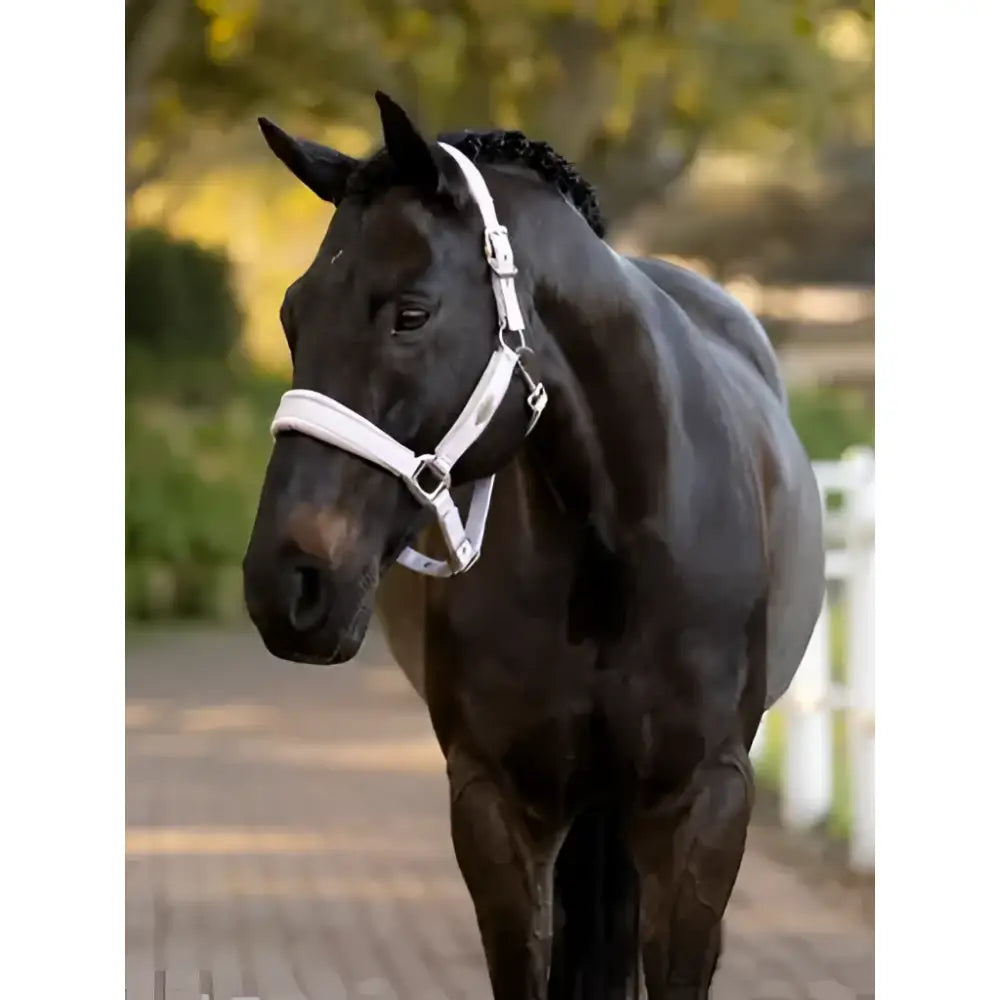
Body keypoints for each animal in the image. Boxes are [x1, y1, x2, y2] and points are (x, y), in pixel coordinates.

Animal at [242, 90, 825, 1000]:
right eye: (291, 317)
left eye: (411, 312)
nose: (288, 582)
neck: (615, 549)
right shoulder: (499, 807)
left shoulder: (703, 807)